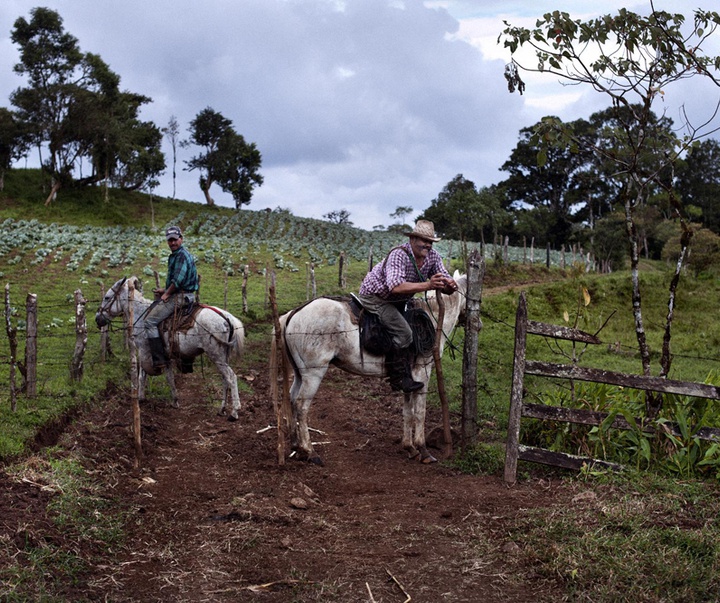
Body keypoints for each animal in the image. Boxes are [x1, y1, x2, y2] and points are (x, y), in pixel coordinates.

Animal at [95, 278, 245, 420]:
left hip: (216, 355)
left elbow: (142, 375)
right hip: (223, 356)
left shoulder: (144, 350)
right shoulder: (164, 356)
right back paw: (222, 409)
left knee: (231, 377)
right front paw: (175, 401)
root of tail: (226, 317)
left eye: (107, 297)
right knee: (225, 379)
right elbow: (169, 377)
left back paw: (234, 412)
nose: (97, 319)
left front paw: (140, 398)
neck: (140, 315)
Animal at [272, 274, 466, 468]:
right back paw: (310, 451)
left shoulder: (410, 380)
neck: (432, 318)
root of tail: (294, 313)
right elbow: (419, 413)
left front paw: (409, 448)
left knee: (291, 399)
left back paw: (296, 446)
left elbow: (407, 412)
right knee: (301, 406)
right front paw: (423, 450)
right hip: (313, 374)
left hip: (300, 373)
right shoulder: (422, 372)